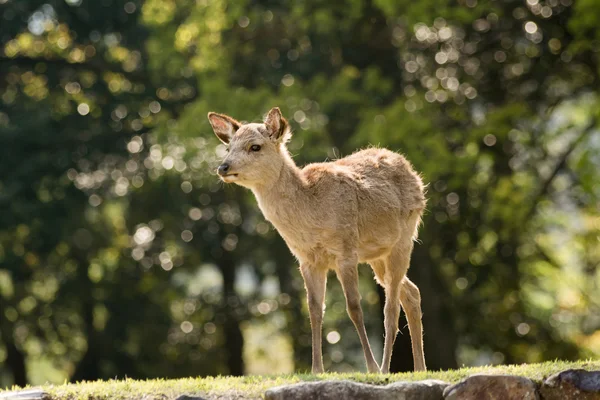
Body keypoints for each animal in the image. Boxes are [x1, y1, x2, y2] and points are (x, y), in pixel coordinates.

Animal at [209, 107, 424, 376]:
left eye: (255, 146)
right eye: (229, 147)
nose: (223, 167)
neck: (311, 212)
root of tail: (413, 173)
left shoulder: (345, 249)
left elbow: (354, 307)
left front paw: (371, 367)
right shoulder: (307, 259)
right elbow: (314, 310)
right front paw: (316, 369)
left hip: (404, 238)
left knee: (391, 308)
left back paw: (385, 368)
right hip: (377, 255)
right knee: (412, 293)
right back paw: (420, 368)